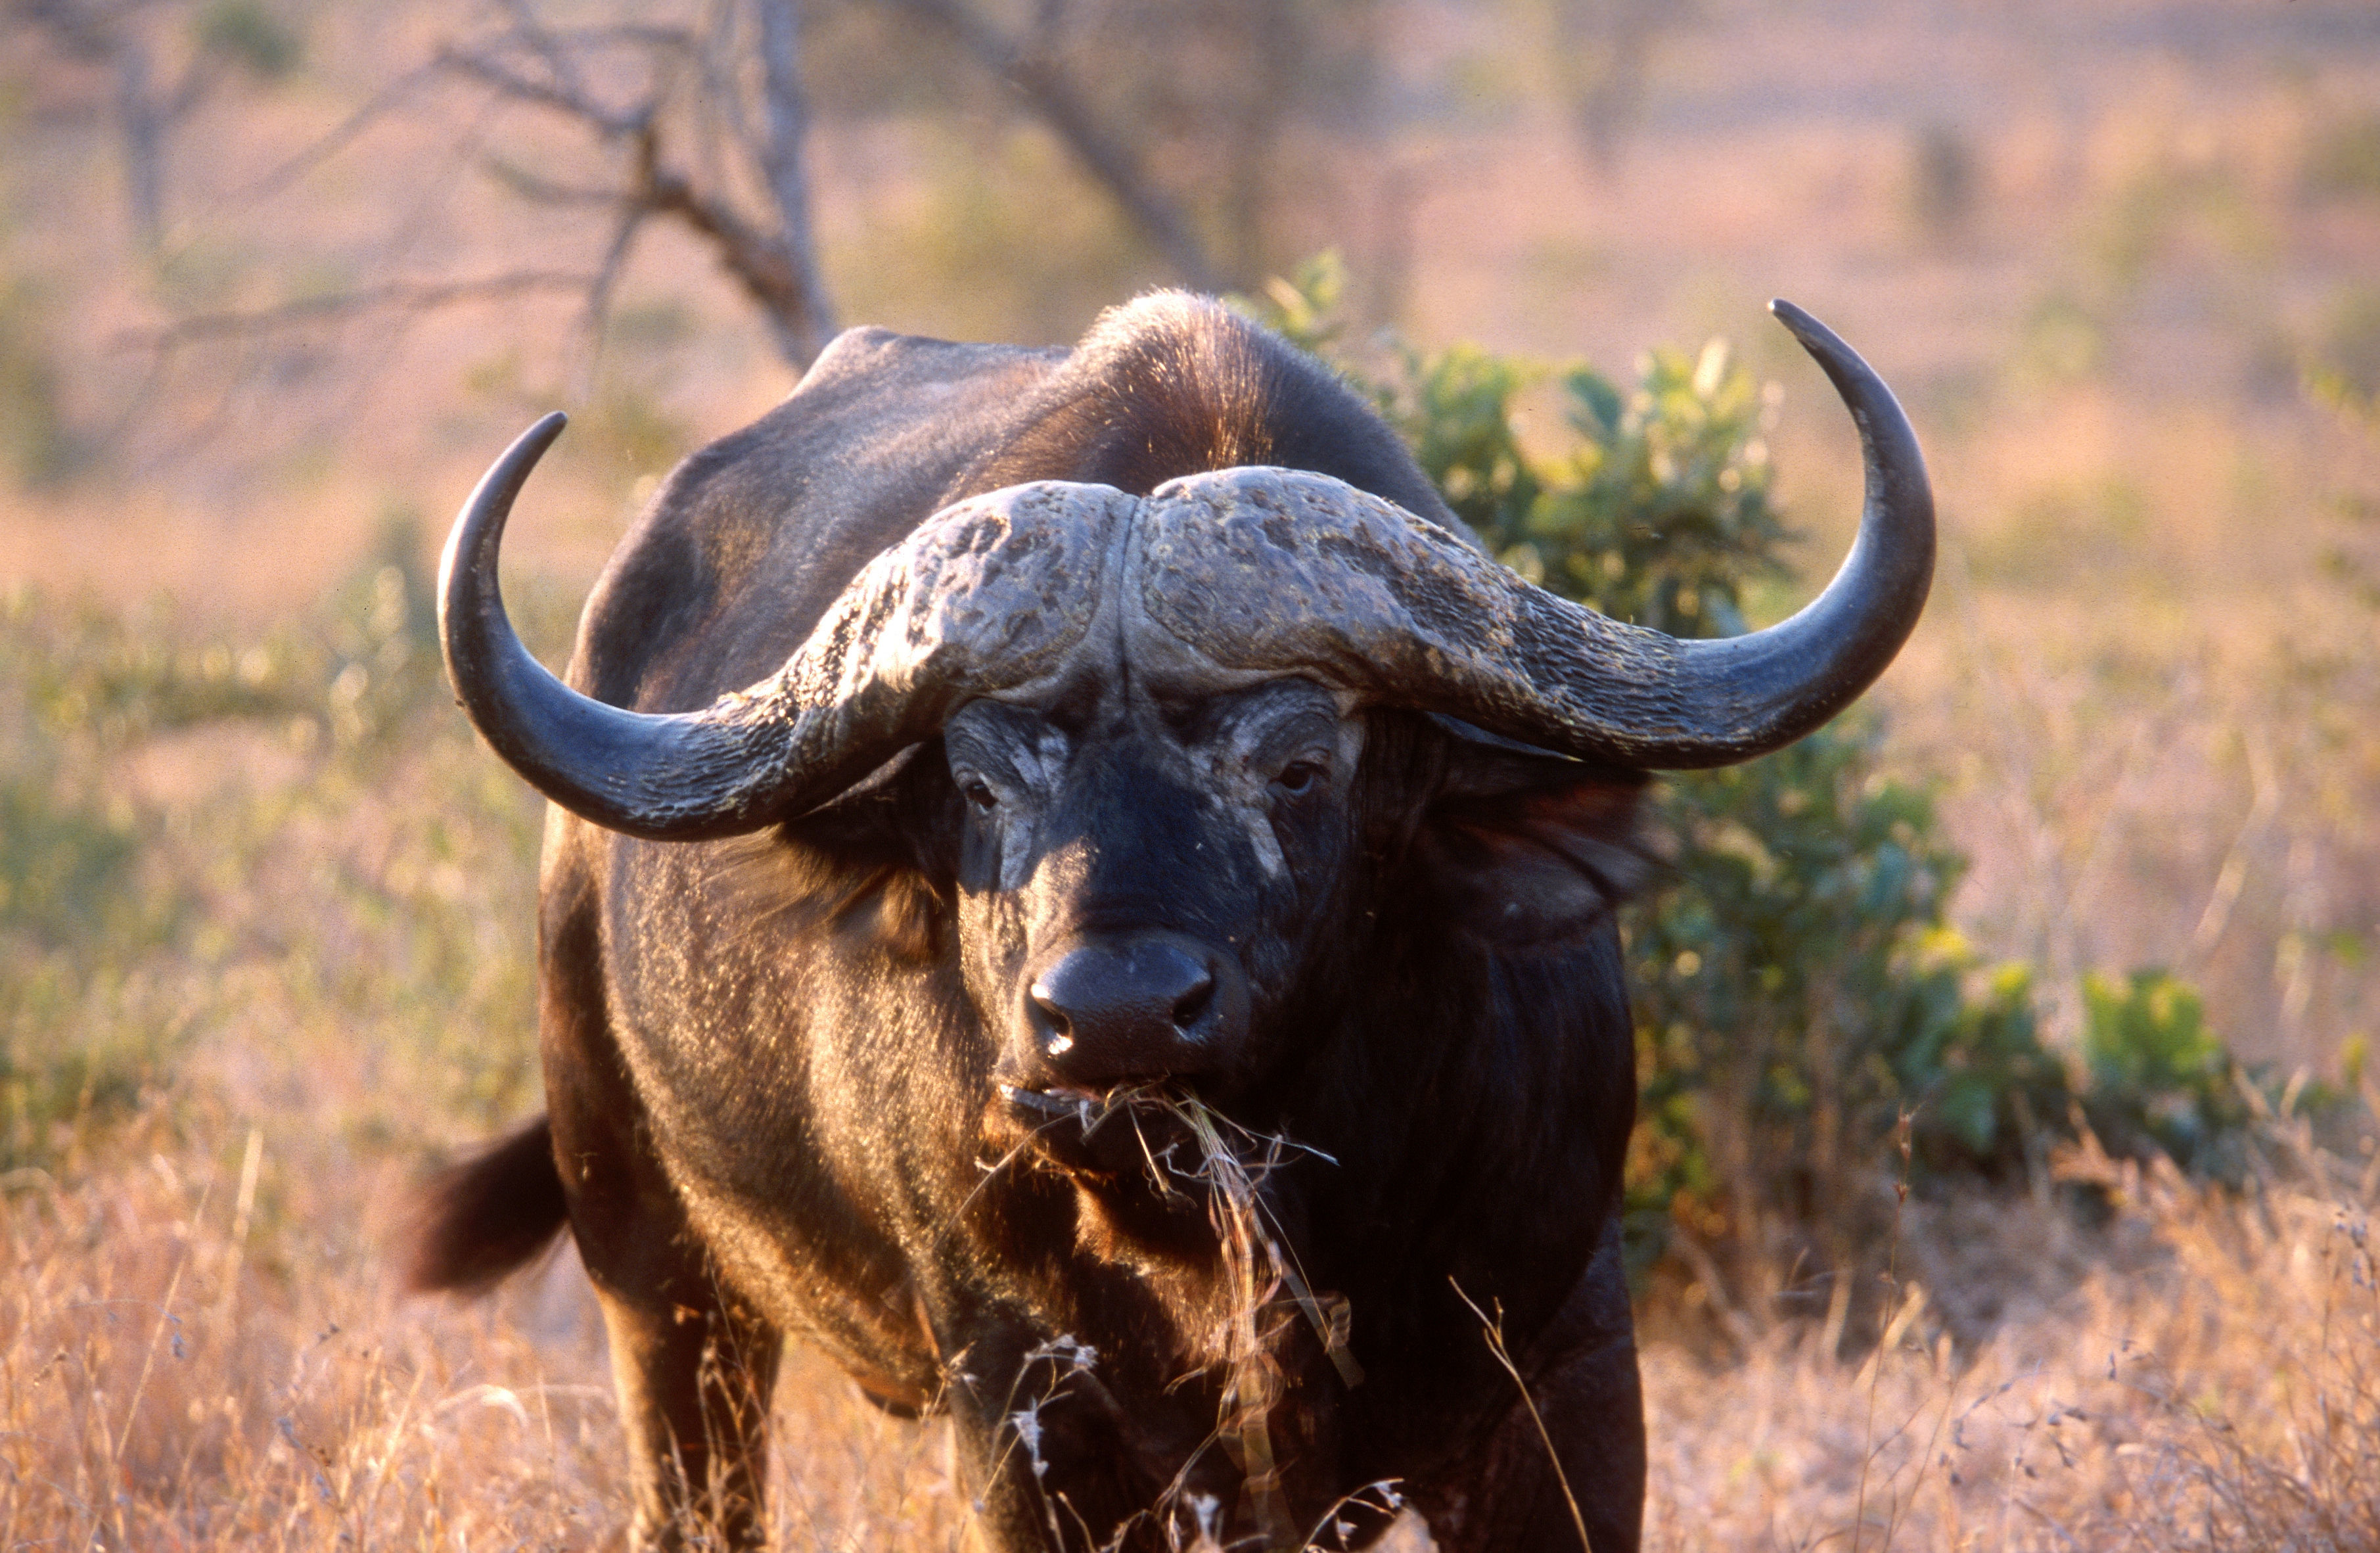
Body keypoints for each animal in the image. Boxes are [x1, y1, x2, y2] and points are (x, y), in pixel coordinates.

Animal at [409, 290, 1933, 1553]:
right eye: (978, 783)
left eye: (1299, 765)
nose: (1118, 1012)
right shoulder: (1026, 1416)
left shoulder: (1566, 1367)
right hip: (653, 1277)